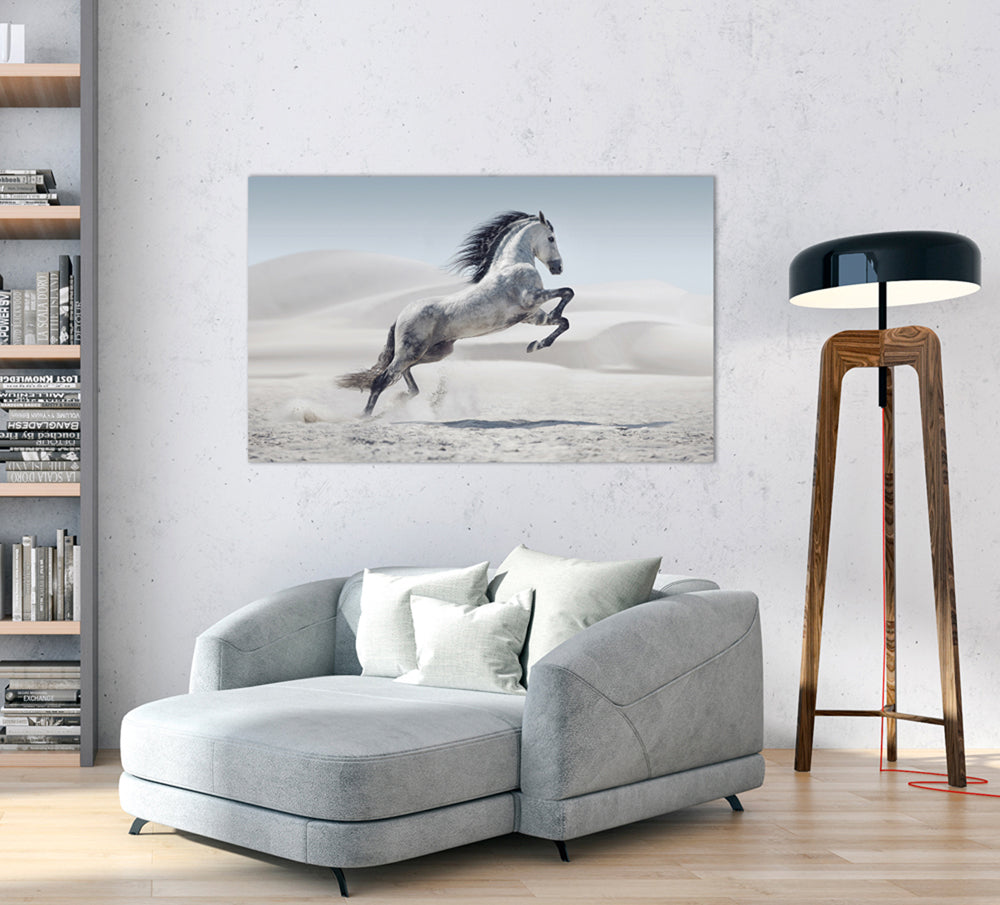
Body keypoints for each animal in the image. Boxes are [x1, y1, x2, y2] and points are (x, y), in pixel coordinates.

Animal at [337, 210, 575, 416]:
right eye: (551, 238)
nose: (558, 268)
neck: (512, 264)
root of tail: (400, 316)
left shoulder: (531, 316)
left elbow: (563, 322)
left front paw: (535, 345)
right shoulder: (531, 298)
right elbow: (567, 292)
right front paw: (542, 334)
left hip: (433, 352)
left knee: (403, 375)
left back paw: (400, 401)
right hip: (412, 351)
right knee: (382, 379)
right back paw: (365, 416)